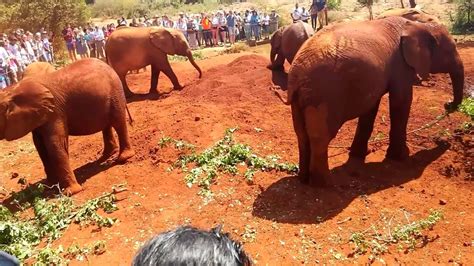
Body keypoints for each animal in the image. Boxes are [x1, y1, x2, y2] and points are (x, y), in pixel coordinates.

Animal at [0, 58, 135, 194]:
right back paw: (107, 155)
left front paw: (70, 192)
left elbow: (55, 144)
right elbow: (40, 145)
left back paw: (124, 158)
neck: (11, 89)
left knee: (118, 122)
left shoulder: (55, 113)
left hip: (115, 92)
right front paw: (49, 185)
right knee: (106, 125)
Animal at [276, 16, 464, 186]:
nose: (447, 104)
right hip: (323, 93)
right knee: (321, 137)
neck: (418, 24)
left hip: (302, 97)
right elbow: (401, 102)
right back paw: (326, 184)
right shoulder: (400, 66)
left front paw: (361, 154)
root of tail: (297, 74)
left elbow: (371, 108)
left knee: (301, 134)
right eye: (451, 50)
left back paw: (303, 179)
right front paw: (401, 157)